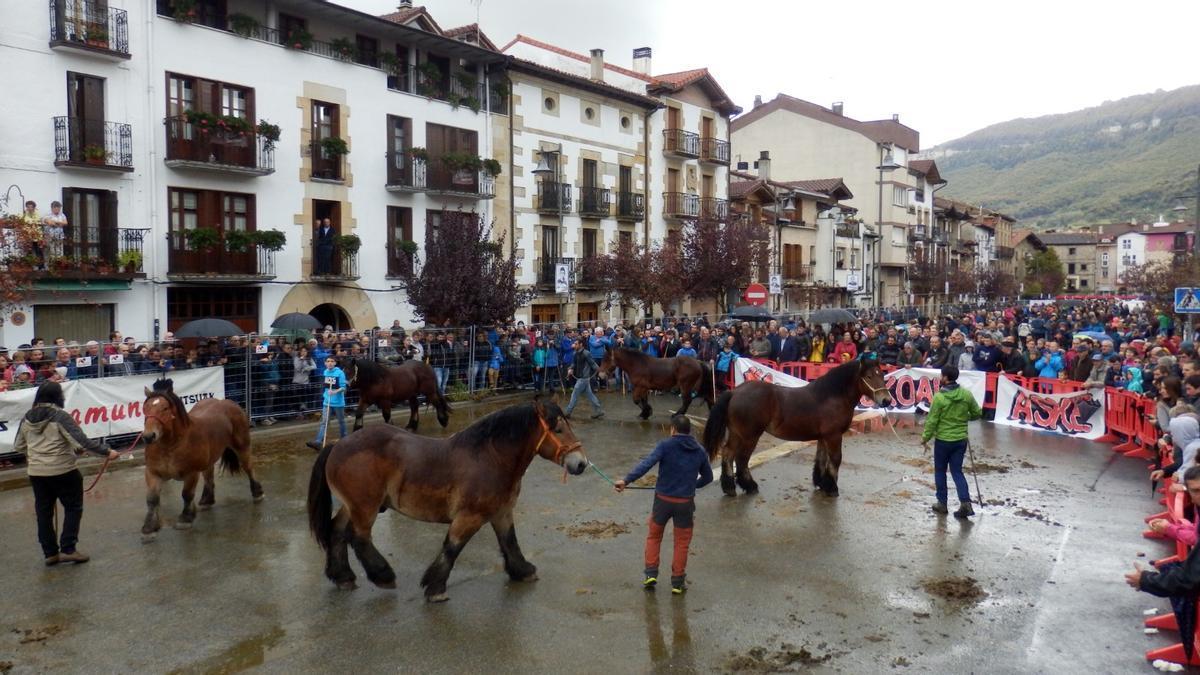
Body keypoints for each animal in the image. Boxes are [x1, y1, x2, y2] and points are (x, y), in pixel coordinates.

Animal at [141, 374, 261, 538]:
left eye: (165, 408)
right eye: (144, 408)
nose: (148, 436)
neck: (170, 446)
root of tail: (226, 402)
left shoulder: (191, 473)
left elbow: (186, 494)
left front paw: (185, 518)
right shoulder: (153, 473)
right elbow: (152, 499)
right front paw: (149, 526)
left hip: (242, 448)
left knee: (248, 467)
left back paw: (257, 493)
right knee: (209, 477)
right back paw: (207, 500)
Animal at [307, 393, 588, 598]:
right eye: (559, 430)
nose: (581, 463)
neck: (491, 457)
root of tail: (337, 445)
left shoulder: (501, 512)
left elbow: (510, 542)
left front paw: (522, 571)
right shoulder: (470, 517)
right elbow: (452, 547)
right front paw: (435, 588)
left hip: (352, 505)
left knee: (337, 532)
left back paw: (343, 577)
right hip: (365, 507)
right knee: (359, 537)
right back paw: (383, 575)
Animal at [700, 357, 892, 494]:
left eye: (882, 375)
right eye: (869, 376)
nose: (887, 400)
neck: (832, 396)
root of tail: (735, 392)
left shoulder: (823, 437)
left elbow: (821, 459)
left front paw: (821, 483)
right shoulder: (834, 436)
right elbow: (836, 459)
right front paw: (831, 488)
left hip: (737, 433)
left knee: (728, 453)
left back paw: (729, 487)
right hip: (750, 436)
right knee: (741, 459)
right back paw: (749, 486)